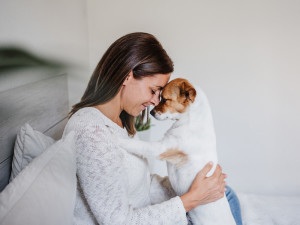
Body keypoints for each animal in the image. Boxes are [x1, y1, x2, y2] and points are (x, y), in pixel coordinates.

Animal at [119, 78, 234, 224]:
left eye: (165, 99)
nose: (151, 112)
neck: (191, 121)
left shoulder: (161, 148)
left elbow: (139, 145)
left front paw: (117, 139)